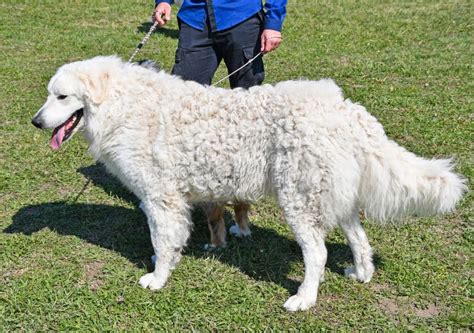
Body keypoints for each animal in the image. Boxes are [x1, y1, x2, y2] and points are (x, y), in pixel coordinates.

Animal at [30, 55, 466, 310]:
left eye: (62, 97)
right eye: (50, 95)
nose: (35, 122)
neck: (123, 104)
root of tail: (347, 109)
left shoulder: (160, 198)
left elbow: (162, 240)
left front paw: (158, 278)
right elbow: (173, 238)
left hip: (298, 198)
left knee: (317, 254)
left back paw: (304, 299)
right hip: (327, 194)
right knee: (359, 239)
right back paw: (361, 274)